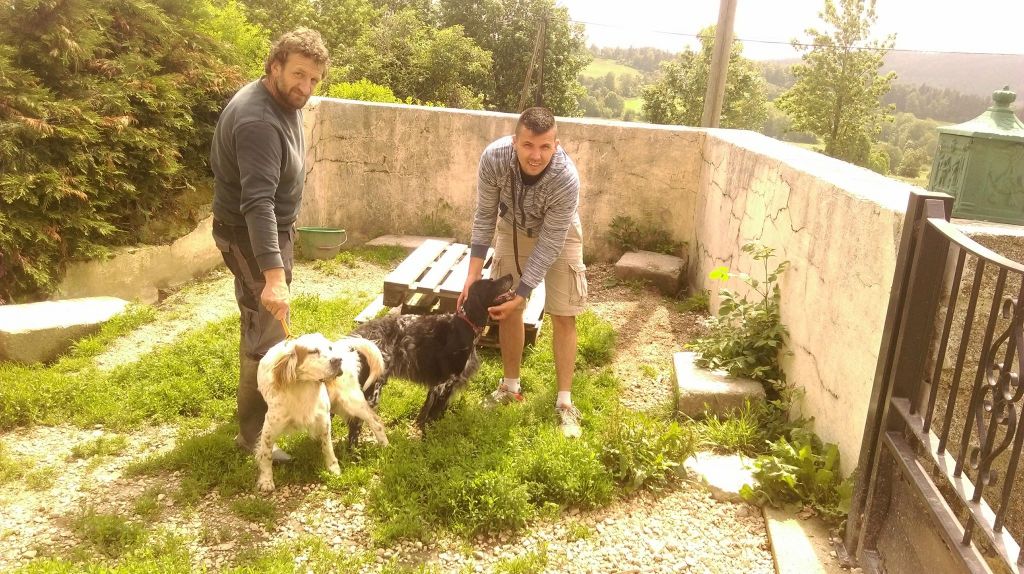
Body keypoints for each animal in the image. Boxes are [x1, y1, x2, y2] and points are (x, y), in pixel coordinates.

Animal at [254, 331, 387, 493]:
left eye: (329, 348)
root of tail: (341, 348)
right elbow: (266, 454)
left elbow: (328, 447)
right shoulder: (270, 427)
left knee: (376, 422)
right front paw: (266, 480)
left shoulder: (323, 419)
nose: (337, 360)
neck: (302, 388)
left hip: (351, 402)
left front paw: (333, 468)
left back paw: (386, 446)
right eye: (313, 351)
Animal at [346, 272, 520, 444]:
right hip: (372, 389)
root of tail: (357, 338)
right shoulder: (445, 383)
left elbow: (431, 413)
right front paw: (430, 439)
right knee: (356, 422)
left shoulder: (440, 385)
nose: (511, 275)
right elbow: (432, 416)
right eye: (490, 284)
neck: (465, 325)